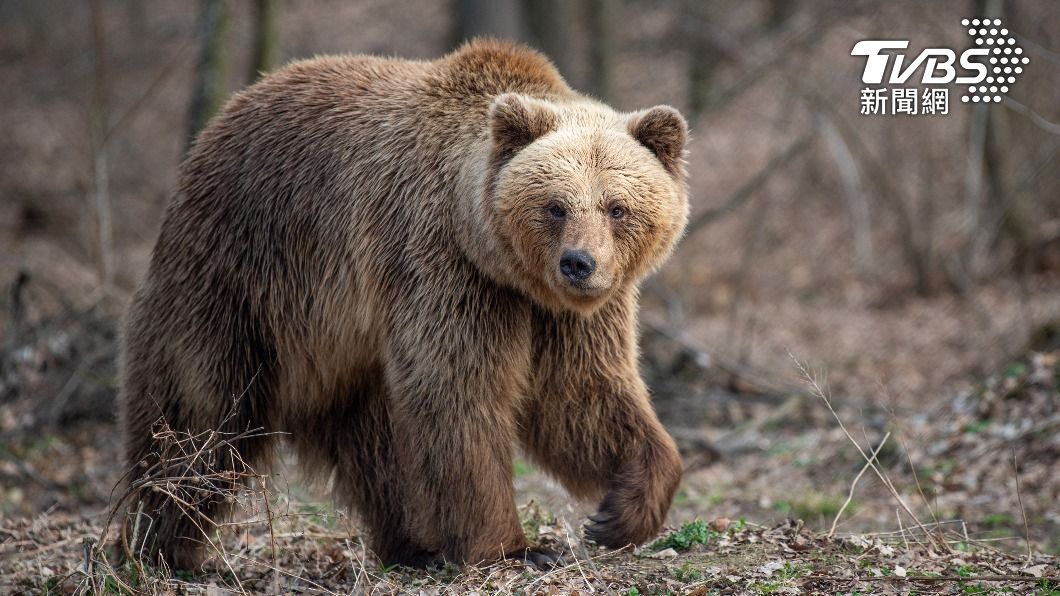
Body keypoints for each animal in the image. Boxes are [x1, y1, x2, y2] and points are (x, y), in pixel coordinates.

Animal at [118, 39, 689, 570]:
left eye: (617, 207)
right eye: (555, 206)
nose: (578, 263)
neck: (499, 261)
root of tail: (213, 130)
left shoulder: (561, 314)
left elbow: (582, 396)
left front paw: (619, 512)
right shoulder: (439, 264)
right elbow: (459, 393)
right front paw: (516, 548)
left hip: (340, 343)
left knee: (375, 444)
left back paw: (414, 544)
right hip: (235, 281)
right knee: (200, 419)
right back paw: (159, 546)